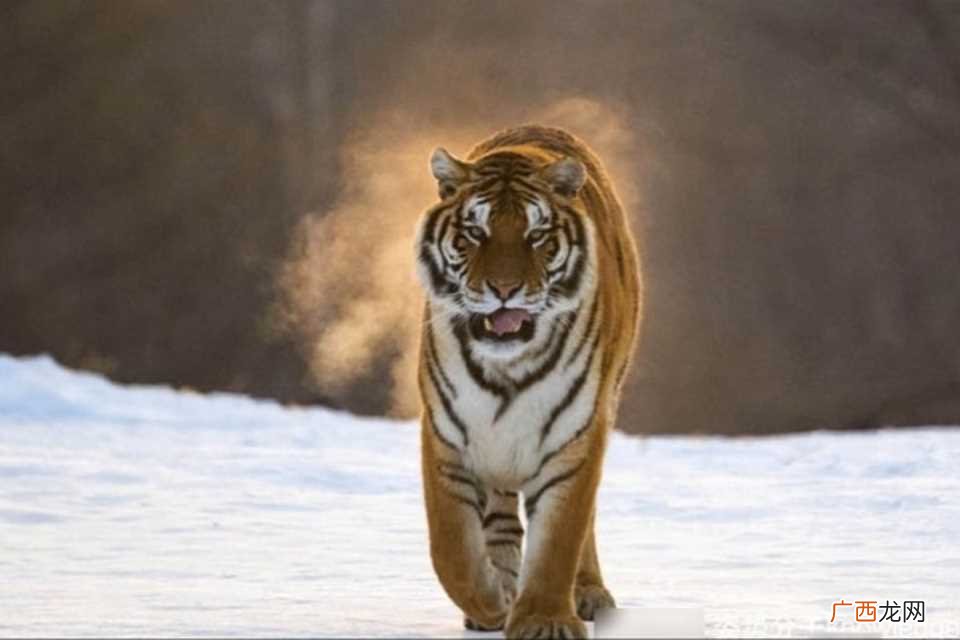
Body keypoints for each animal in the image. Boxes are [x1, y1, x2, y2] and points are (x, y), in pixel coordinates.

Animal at [414, 124, 641, 639]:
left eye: (536, 236)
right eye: (475, 233)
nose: (504, 290)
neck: (507, 370)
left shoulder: (574, 438)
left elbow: (559, 541)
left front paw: (544, 620)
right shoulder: (447, 437)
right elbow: (451, 551)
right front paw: (492, 604)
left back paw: (588, 593)